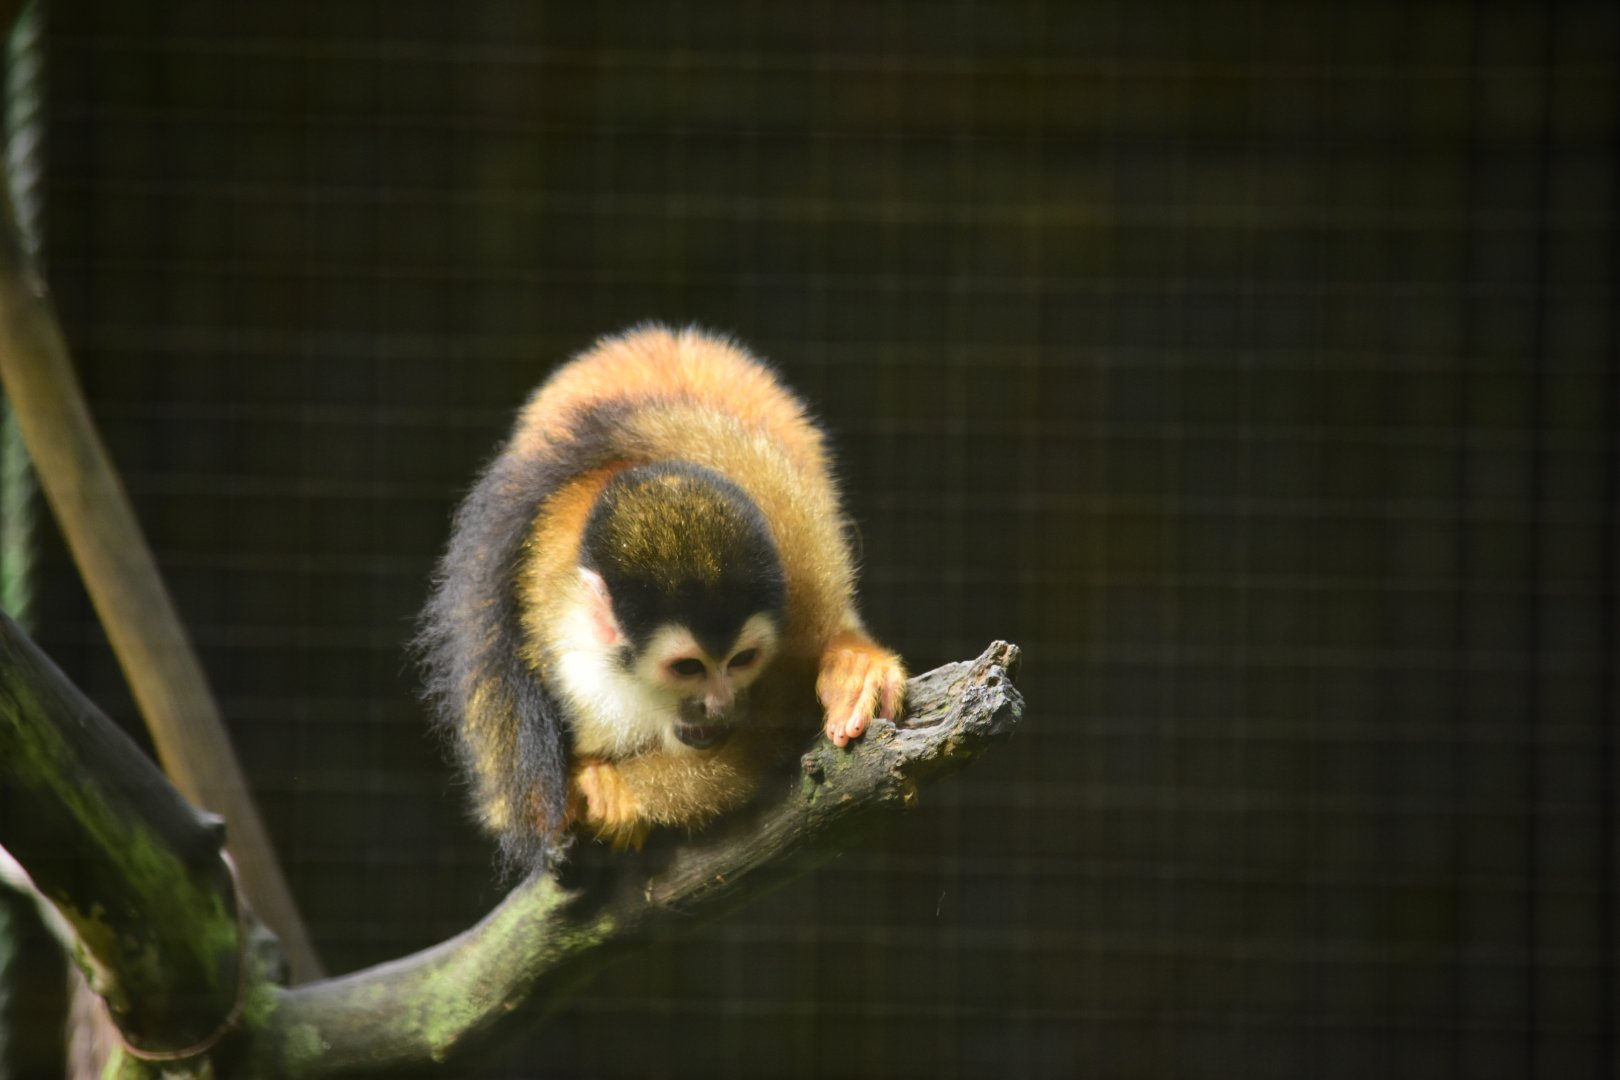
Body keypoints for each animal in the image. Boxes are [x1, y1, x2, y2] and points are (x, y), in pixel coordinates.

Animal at [417, 324, 906, 870]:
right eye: (687, 667)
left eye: (741, 661)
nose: (718, 704)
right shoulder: (573, 662)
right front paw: (606, 785)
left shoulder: (795, 551)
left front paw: (851, 666)